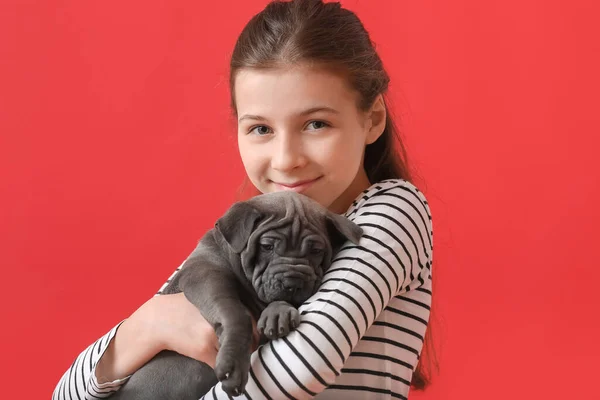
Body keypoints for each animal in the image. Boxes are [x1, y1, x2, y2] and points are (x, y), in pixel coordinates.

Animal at [113, 191, 364, 400]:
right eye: (267, 246)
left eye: (316, 250)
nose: (292, 283)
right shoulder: (204, 273)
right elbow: (236, 313)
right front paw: (234, 362)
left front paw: (278, 313)